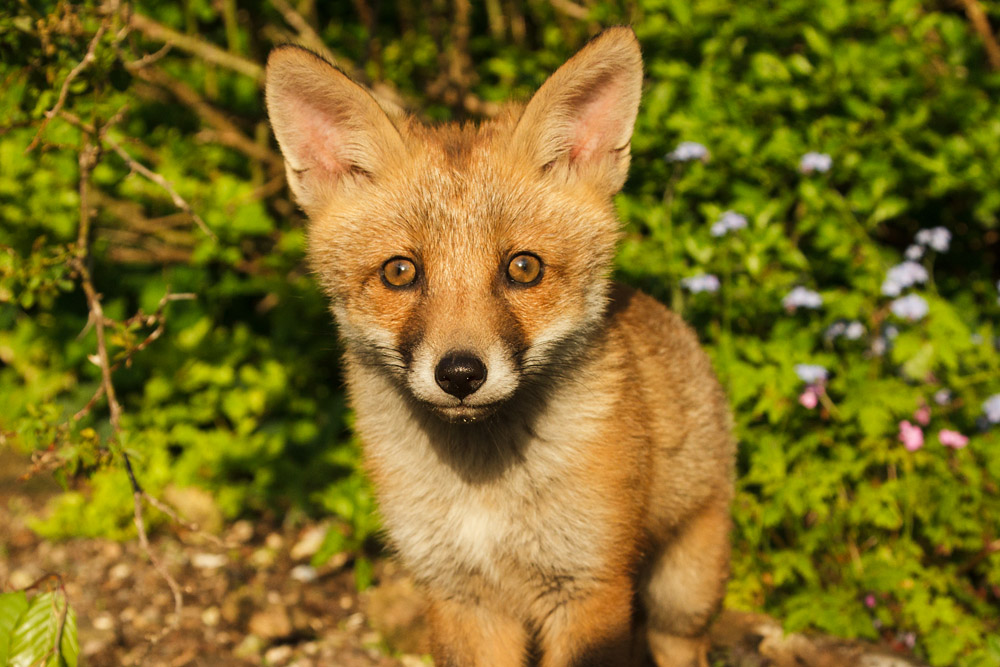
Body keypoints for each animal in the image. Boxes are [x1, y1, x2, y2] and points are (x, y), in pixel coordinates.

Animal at [265, 26, 735, 667]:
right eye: (400, 272)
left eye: (523, 268)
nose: (461, 373)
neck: (485, 493)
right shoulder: (459, 593)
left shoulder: (589, 586)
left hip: (680, 597)